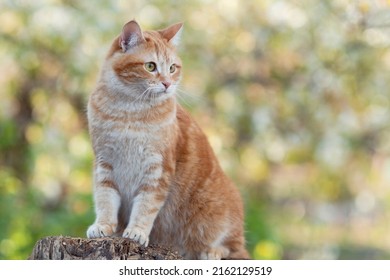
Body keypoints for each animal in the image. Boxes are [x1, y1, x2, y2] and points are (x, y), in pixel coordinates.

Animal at [86, 20, 250, 260]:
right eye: (150, 66)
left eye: (172, 68)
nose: (167, 84)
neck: (129, 111)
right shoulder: (104, 163)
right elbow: (105, 199)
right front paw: (104, 226)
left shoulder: (158, 169)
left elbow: (146, 206)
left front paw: (136, 231)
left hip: (216, 213)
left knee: (231, 247)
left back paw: (212, 251)